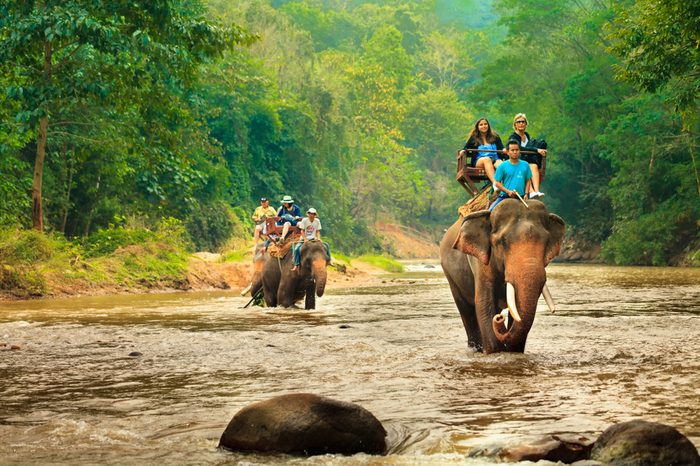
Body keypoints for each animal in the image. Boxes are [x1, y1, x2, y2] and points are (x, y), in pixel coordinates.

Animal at [440, 198, 568, 354]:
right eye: (503, 241)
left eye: (546, 242)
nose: (499, 319)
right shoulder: (480, 262)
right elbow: (483, 303)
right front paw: (495, 351)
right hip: (451, 276)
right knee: (467, 311)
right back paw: (476, 348)